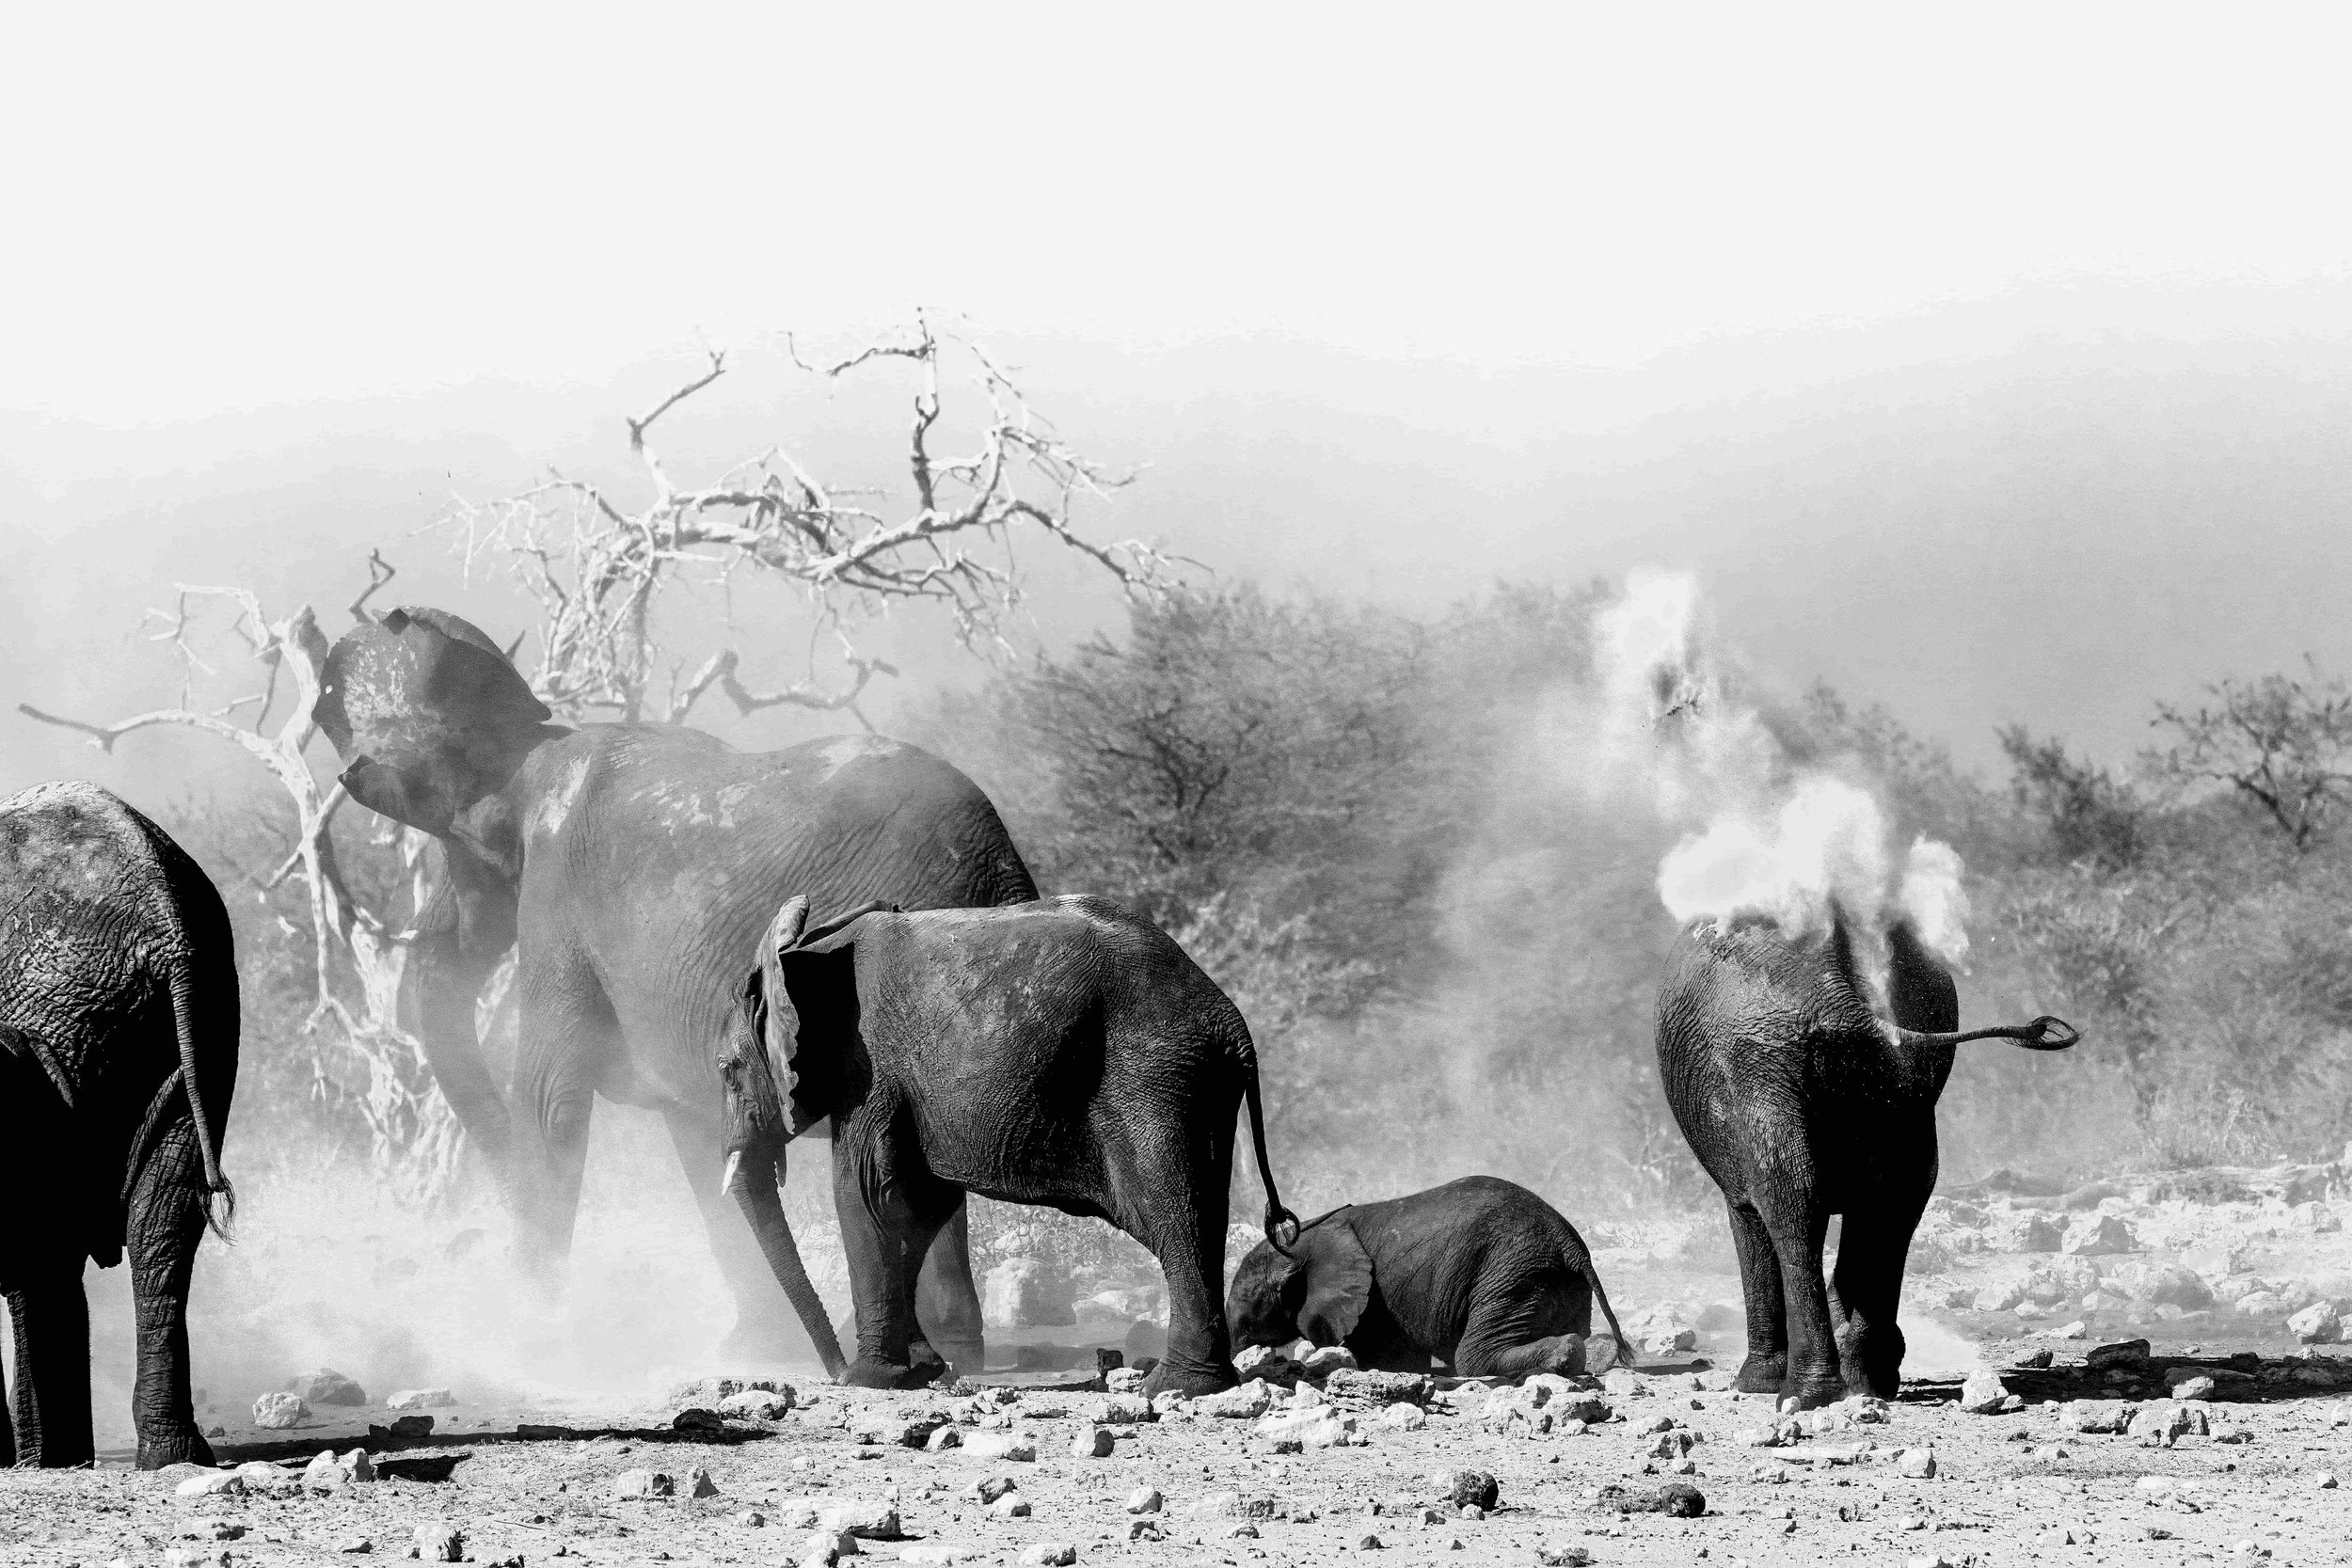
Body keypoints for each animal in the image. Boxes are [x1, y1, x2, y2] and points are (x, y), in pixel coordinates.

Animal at [1, 781, 236, 1469]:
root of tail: (167, 925)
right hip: (204, 1020)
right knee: (165, 1220)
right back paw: (166, 1454)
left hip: (65, 1012)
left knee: (48, 1240)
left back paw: (52, 1459)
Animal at [312, 606, 1039, 1374]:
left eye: (473, 864)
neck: (535, 746)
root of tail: (1005, 868)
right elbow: (695, 1133)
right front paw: (748, 1347)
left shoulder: (559, 900)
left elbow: (547, 1099)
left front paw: (530, 1345)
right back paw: (951, 1351)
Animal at [716, 892, 1297, 1396]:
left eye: (726, 1070)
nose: (833, 1372)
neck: (806, 952)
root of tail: (1232, 1022)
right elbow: (918, 1205)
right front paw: (923, 1372)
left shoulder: (867, 1067)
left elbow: (864, 1194)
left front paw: (870, 1380)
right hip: (1198, 1086)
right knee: (1202, 1215)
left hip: (1158, 1079)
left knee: (1173, 1216)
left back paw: (1176, 1387)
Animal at [1224, 1175, 1630, 1379]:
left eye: (1244, 1301)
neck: (1300, 1239)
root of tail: (1568, 1243)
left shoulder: (1373, 1303)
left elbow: (1392, 1360)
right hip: (1548, 1280)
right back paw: (1598, 1353)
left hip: (1512, 1273)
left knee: (1471, 1356)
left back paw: (1567, 1354)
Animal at [1656, 909, 2078, 1407]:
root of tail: (1837, 994)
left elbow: (1750, 1212)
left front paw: (1755, 1385)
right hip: (1900, 1073)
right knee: (1903, 1191)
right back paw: (1864, 1379)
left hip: (1761, 1063)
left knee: (1793, 1200)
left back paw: (1804, 1394)